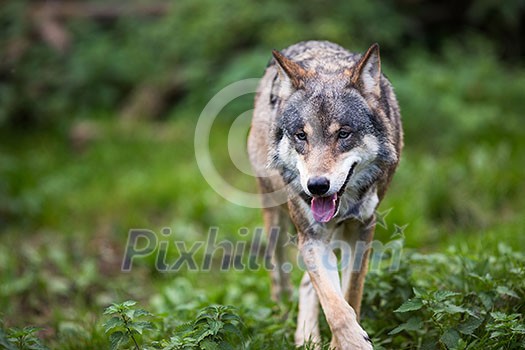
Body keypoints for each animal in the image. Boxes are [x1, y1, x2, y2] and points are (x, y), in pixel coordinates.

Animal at [248, 39, 404, 348]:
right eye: (301, 135)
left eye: (343, 134)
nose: (317, 186)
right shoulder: (311, 237)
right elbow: (335, 307)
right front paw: (353, 342)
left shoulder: (362, 228)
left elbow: (349, 295)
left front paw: (342, 343)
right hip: (278, 226)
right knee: (282, 284)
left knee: (307, 284)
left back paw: (307, 337)